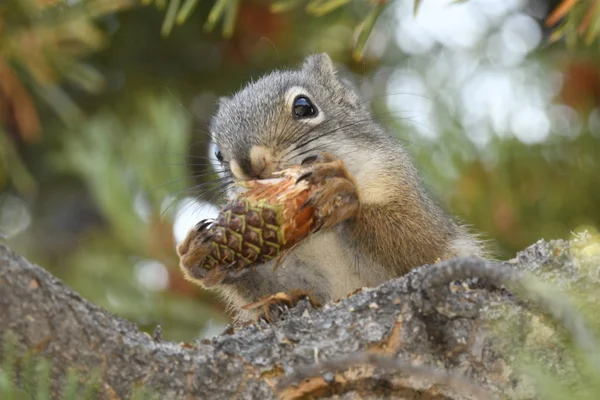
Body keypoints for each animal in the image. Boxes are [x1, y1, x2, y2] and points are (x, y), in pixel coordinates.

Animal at [176, 53, 486, 324]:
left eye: (304, 106)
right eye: (217, 152)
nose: (248, 164)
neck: (319, 233)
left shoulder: (404, 196)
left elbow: (417, 242)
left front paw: (343, 193)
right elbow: (269, 290)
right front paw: (200, 253)